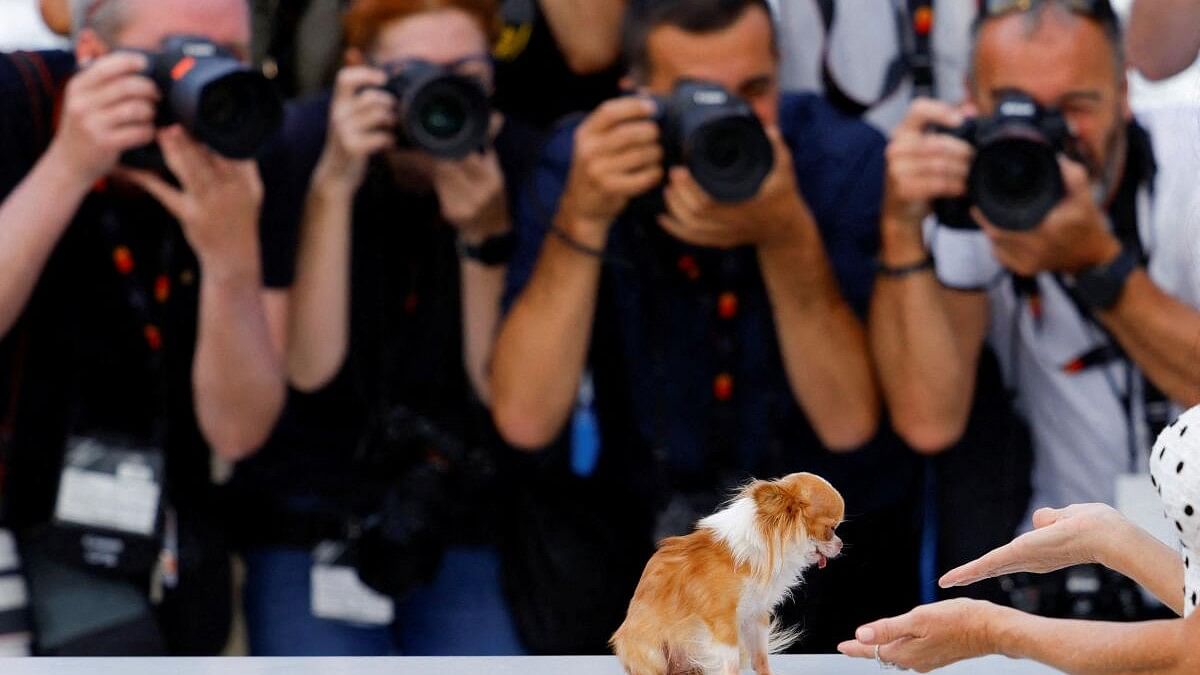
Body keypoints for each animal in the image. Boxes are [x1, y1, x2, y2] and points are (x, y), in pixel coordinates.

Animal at [609, 470, 844, 667]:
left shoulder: (755, 616)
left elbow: (760, 659)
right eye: (830, 529)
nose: (841, 544)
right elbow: (731, 664)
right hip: (652, 652)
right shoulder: (724, 624)